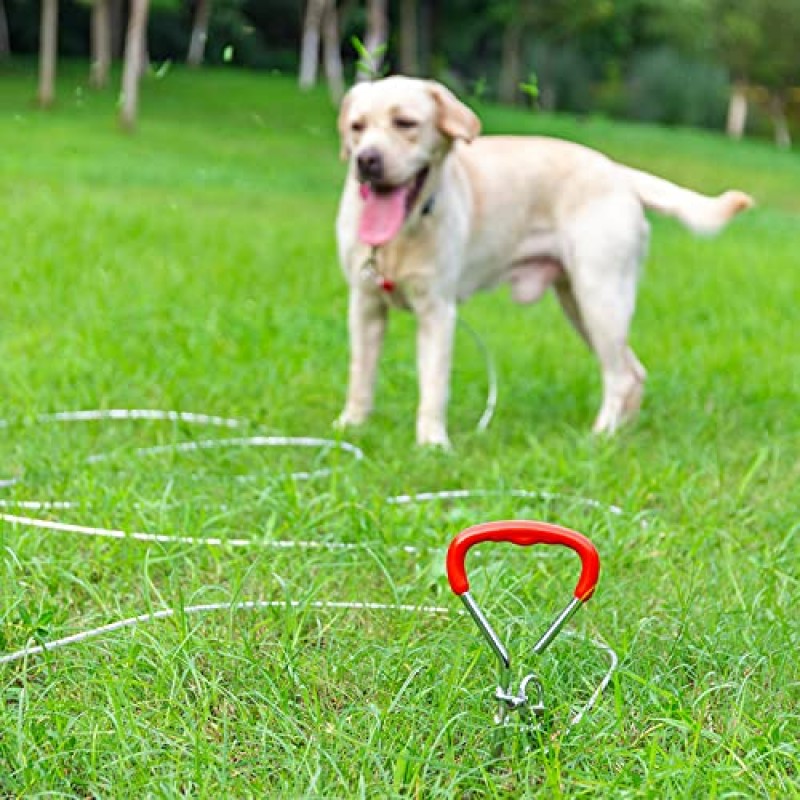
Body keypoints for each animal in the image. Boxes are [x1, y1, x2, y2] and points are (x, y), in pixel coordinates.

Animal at [332, 76, 752, 446]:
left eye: (405, 123)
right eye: (357, 127)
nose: (366, 160)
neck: (400, 237)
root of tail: (618, 171)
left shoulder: (437, 312)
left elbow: (433, 386)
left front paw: (432, 443)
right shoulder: (364, 304)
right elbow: (359, 374)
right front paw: (351, 427)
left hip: (600, 298)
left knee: (619, 376)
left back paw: (601, 437)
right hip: (578, 304)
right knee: (633, 371)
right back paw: (622, 434)